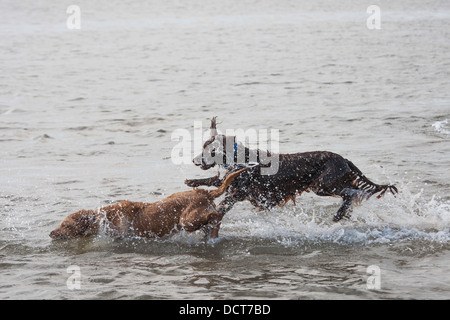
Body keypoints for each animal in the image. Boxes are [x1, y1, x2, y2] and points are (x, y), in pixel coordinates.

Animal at [50, 168, 248, 240]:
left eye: (65, 225)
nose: (51, 233)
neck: (101, 218)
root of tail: (204, 192)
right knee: (214, 220)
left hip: (187, 220)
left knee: (217, 215)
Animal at [184, 117, 398, 220]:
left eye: (209, 150)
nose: (194, 160)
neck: (242, 159)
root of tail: (343, 159)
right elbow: (215, 180)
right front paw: (192, 181)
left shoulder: (239, 191)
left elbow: (223, 202)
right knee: (354, 193)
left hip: (322, 184)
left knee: (351, 193)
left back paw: (338, 215)